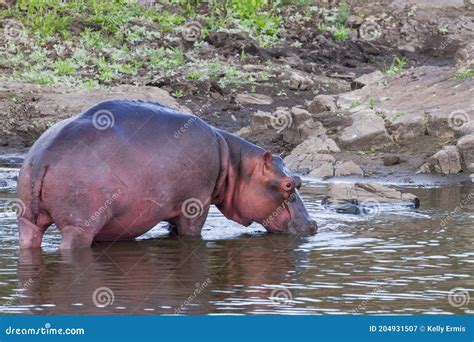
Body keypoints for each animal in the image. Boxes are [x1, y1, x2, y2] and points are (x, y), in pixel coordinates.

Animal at [16, 99, 316, 248]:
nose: (313, 225)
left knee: (29, 235)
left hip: (28, 218)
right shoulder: (196, 204)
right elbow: (191, 232)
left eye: (300, 179)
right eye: (288, 185)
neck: (233, 162)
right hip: (79, 226)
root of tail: (43, 158)